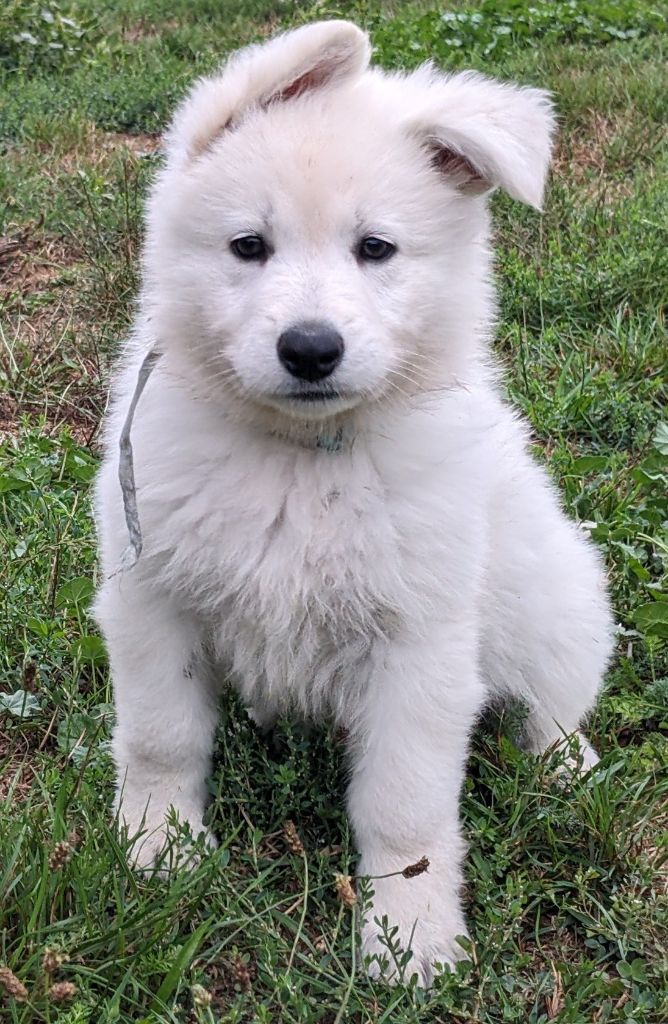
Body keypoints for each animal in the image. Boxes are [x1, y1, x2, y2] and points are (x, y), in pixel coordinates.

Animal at [93, 22, 614, 983]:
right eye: (248, 246)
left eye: (376, 249)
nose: (310, 349)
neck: (303, 459)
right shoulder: (152, 601)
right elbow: (161, 738)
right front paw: (158, 848)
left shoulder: (420, 648)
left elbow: (404, 809)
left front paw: (408, 934)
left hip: (555, 602)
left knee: (551, 704)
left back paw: (569, 768)